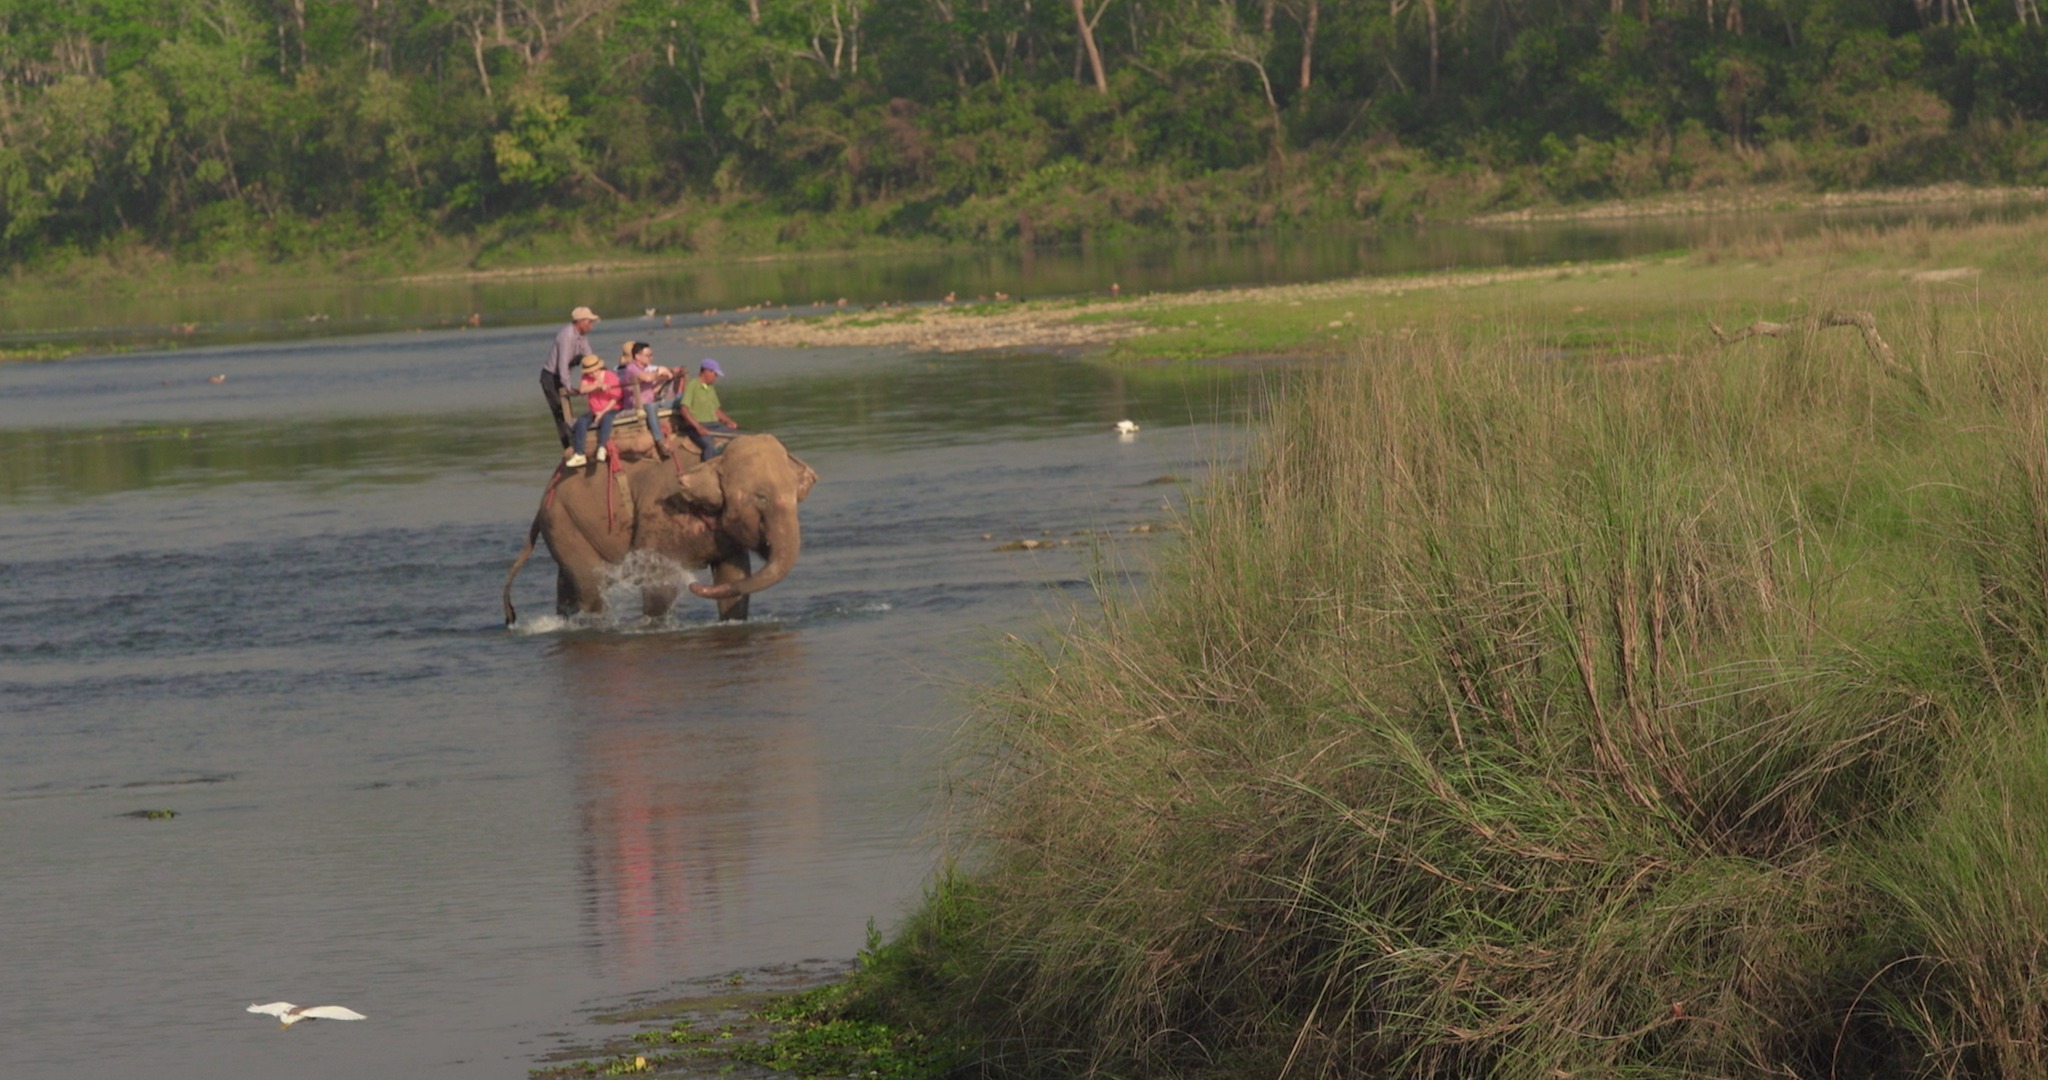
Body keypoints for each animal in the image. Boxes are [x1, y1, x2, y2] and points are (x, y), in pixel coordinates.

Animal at [503, 434, 815, 627]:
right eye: (761, 497)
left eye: (796, 494)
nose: (693, 583)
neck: (714, 457)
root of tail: (545, 495)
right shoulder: (661, 515)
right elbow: (659, 583)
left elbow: (734, 577)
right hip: (565, 522)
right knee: (591, 586)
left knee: (568, 586)